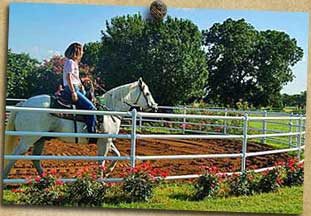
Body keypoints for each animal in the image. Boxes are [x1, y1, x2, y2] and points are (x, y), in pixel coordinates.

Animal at [3, 78, 157, 179]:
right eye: (147, 93)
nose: (155, 106)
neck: (109, 110)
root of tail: (24, 104)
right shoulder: (103, 142)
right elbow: (101, 161)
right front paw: (101, 181)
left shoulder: (107, 140)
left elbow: (117, 155)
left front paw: (108, 172)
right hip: (28, 139)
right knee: (14, 156)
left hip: (40, 139)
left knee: (35, 159)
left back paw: (47, 179)